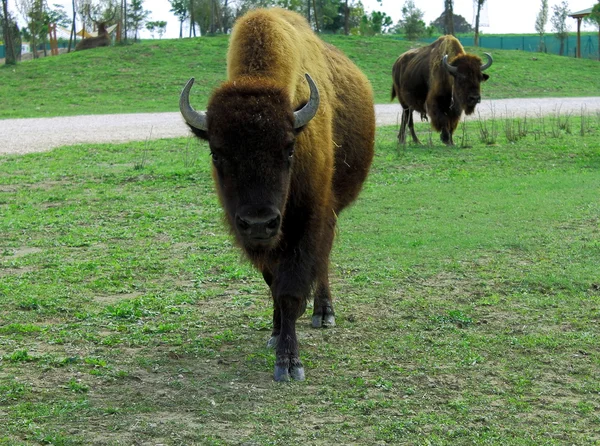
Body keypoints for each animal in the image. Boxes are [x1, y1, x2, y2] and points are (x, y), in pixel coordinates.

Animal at [178, 7, 376, 380]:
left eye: (289, 149)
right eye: (216, 153)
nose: (258, 222)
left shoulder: (306, 221)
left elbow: (291, 289)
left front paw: (289, 362)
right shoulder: (262, 242)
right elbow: (273, 284)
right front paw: (274, 333)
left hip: (330, 211)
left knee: (324, 259)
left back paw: (323, 313)